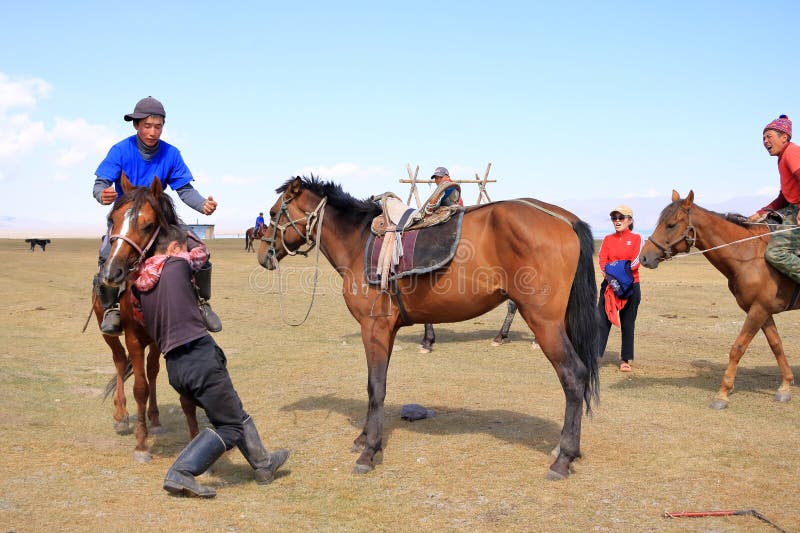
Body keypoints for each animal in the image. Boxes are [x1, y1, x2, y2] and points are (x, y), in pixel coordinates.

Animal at [95, 172, 198, 460]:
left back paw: (153, 417)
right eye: (112, 219)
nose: (113, 272)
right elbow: (139, 387)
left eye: (148, 225)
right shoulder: (133, 337)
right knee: (120, 361)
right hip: (109, 332)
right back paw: (121, 415)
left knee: (151, 370)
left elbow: (155, 376)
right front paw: (141, 443)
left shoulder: (166, 334)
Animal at [636, 190, 792, 408]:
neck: (749, 255)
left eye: (671, 225)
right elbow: (776, 344)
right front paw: (785, 386)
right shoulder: (762, 309)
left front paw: (722, 393)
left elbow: (738, 348)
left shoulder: (758, 310)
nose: (644, 257)